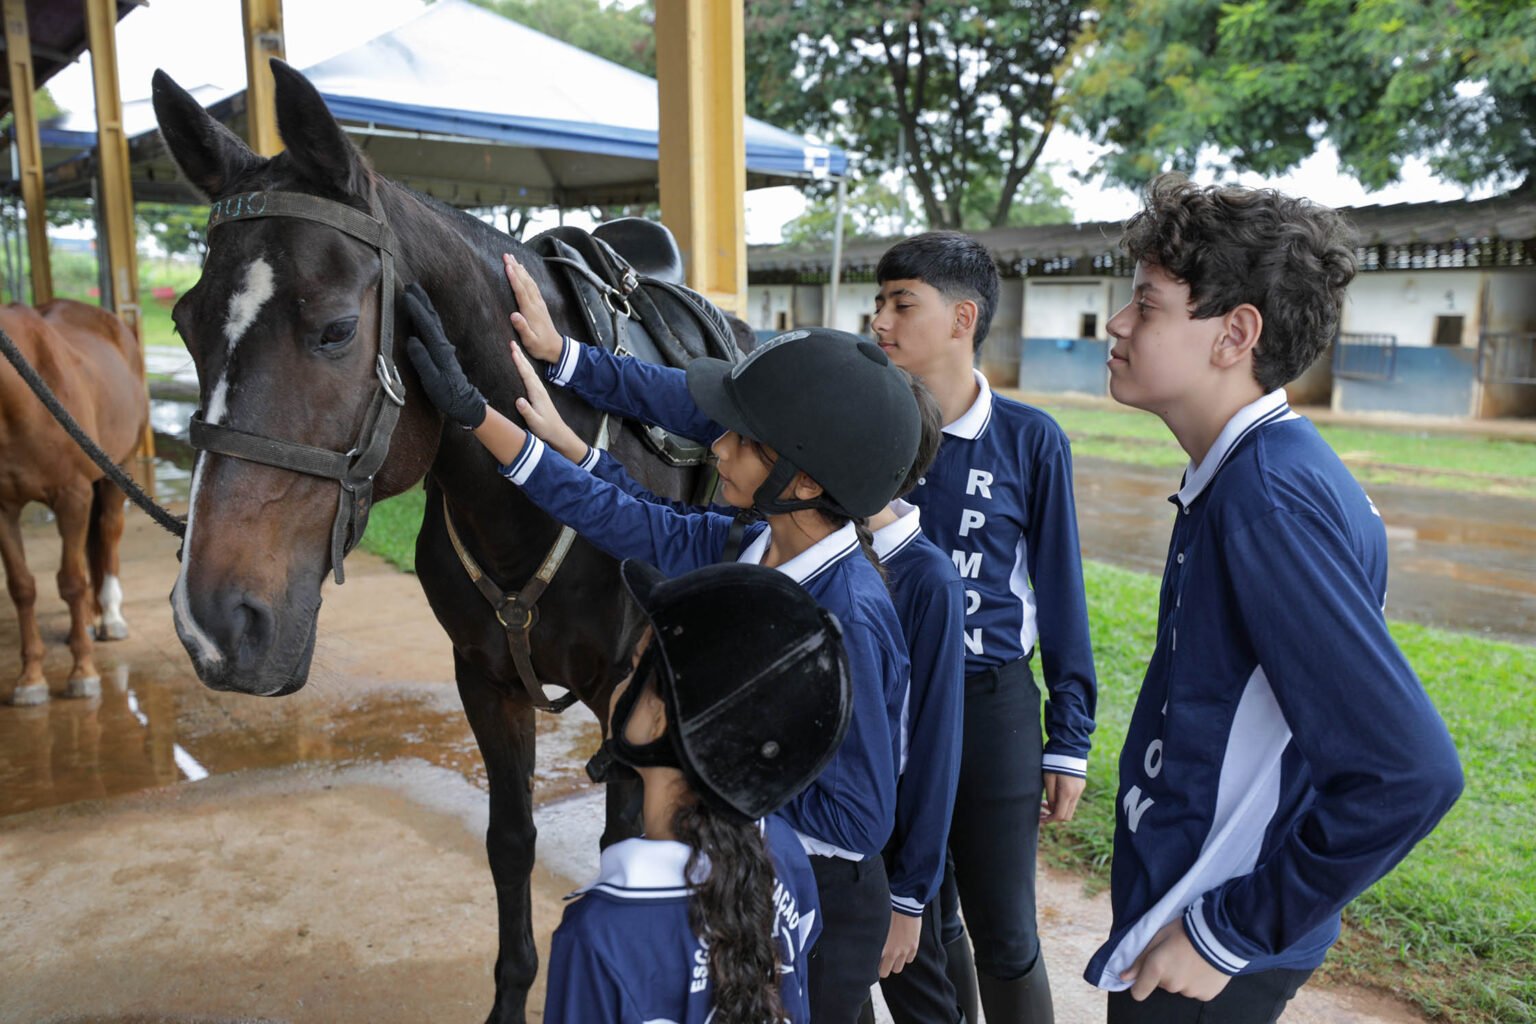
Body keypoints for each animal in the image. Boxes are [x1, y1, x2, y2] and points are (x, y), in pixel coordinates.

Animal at [0, 300, 145, 709]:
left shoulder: (73, 496)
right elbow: (22, 587)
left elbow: (71, 583)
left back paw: (110, 618)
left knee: (107, 535)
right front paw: (30, 679)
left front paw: (83, 673)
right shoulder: (5, 507)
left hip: (119, 470)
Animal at [152, 64, 709, 1024]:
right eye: (186, 323)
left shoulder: (624, 686)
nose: (213, 623)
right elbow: (511, 841)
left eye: (337, 329)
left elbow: (624, 838)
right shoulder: (483, 678)